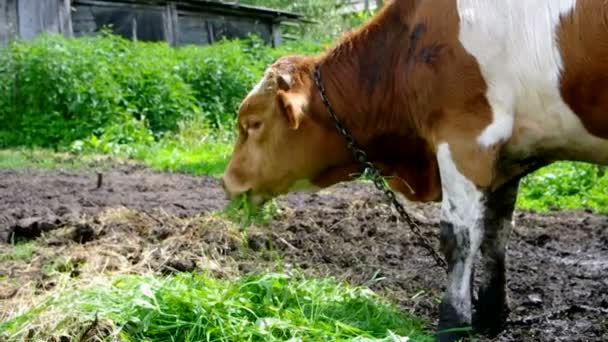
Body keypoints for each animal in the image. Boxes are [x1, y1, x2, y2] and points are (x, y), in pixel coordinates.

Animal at [221, 0, 608, 340]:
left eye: (252, 123)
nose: (227, 181)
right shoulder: (507, 157)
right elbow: (495, 235)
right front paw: (490, 317)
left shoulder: (465, 137)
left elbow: (459, 238)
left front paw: (452, 324)